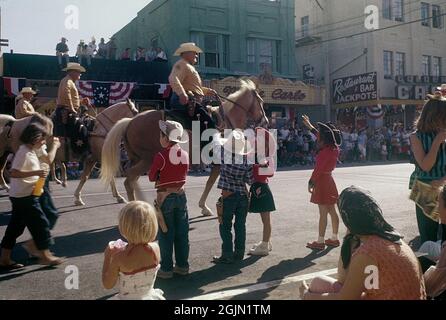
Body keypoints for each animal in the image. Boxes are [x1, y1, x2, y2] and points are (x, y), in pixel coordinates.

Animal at [101, 79, 268, 215]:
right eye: (260, 101)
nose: (265, 121)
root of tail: (130, 121)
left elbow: (212, 182)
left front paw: (204, 206)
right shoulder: (220, 163)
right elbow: (212, 183)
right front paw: (205, 207)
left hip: (137, 159)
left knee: (131, 180)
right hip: (147, 160)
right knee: (129, 180)